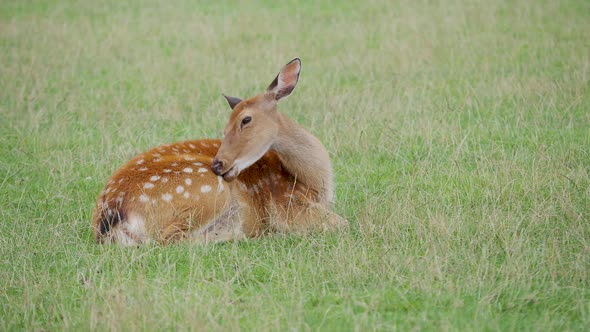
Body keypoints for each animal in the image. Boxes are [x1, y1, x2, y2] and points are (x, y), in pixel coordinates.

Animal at [92, 57, 350, 244]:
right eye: (225, 128)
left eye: (245, 120)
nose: (218, 163)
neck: (314, 183)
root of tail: (112, 216)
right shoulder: (285, 206)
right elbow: (343, 223)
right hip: (207, 190)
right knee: (169, 239)